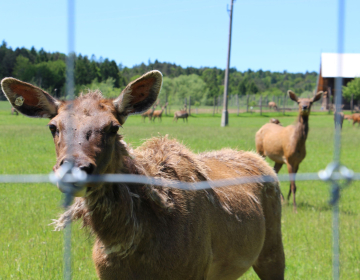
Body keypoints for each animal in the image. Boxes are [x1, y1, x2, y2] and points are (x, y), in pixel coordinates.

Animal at [2, 71, 284, 278]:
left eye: (113, 127)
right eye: (53, 127)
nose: (74, 169)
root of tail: (259, 160)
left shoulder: (194, 270)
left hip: (272, 247)